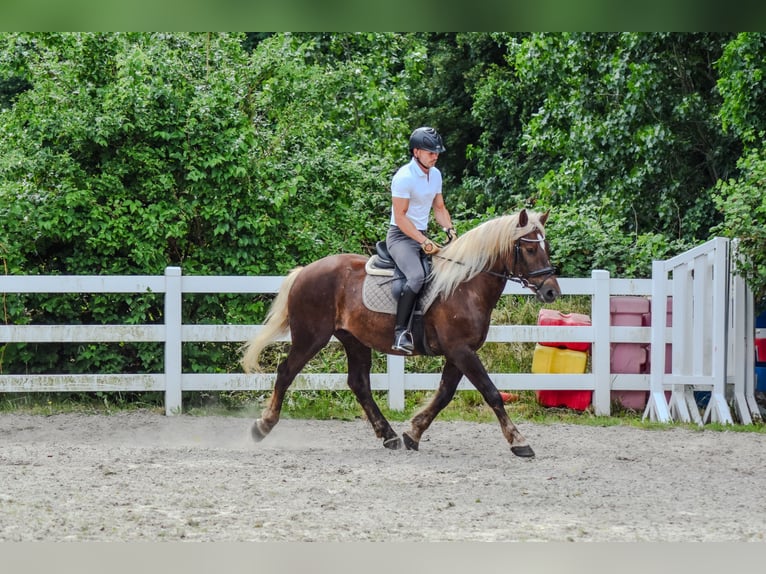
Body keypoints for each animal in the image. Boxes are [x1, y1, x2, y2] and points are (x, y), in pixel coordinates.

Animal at [240, 209, 560, 457]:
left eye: (546, 246)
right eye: (530, 249)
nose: (551, 291)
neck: (464, 286)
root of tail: (305, 271)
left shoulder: (459, 352)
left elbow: (445, 394)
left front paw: (413, 432)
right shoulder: (460, 350)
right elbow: (491, 392)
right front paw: (519, 441)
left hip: (354, 340)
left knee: (358, 384)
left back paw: (389, 435)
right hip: (310, 337)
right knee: (286, 372)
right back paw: (262, 426)